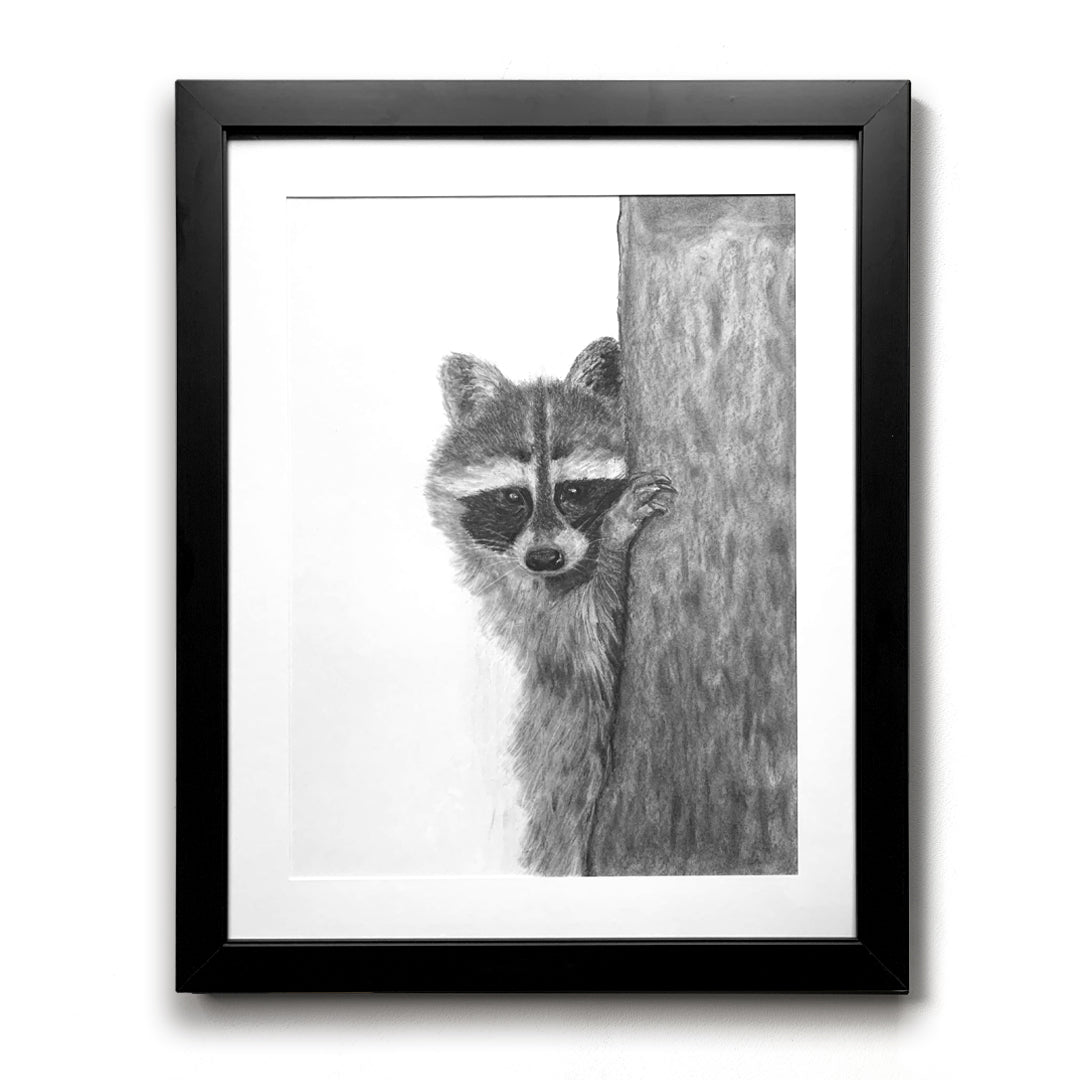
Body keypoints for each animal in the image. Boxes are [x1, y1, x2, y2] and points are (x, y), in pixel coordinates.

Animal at [426, 337, 677, 875]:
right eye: (512, 497)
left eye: (573, 492)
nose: (544, 557)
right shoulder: (539, 618)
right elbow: (596, 630)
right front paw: (617, 533)